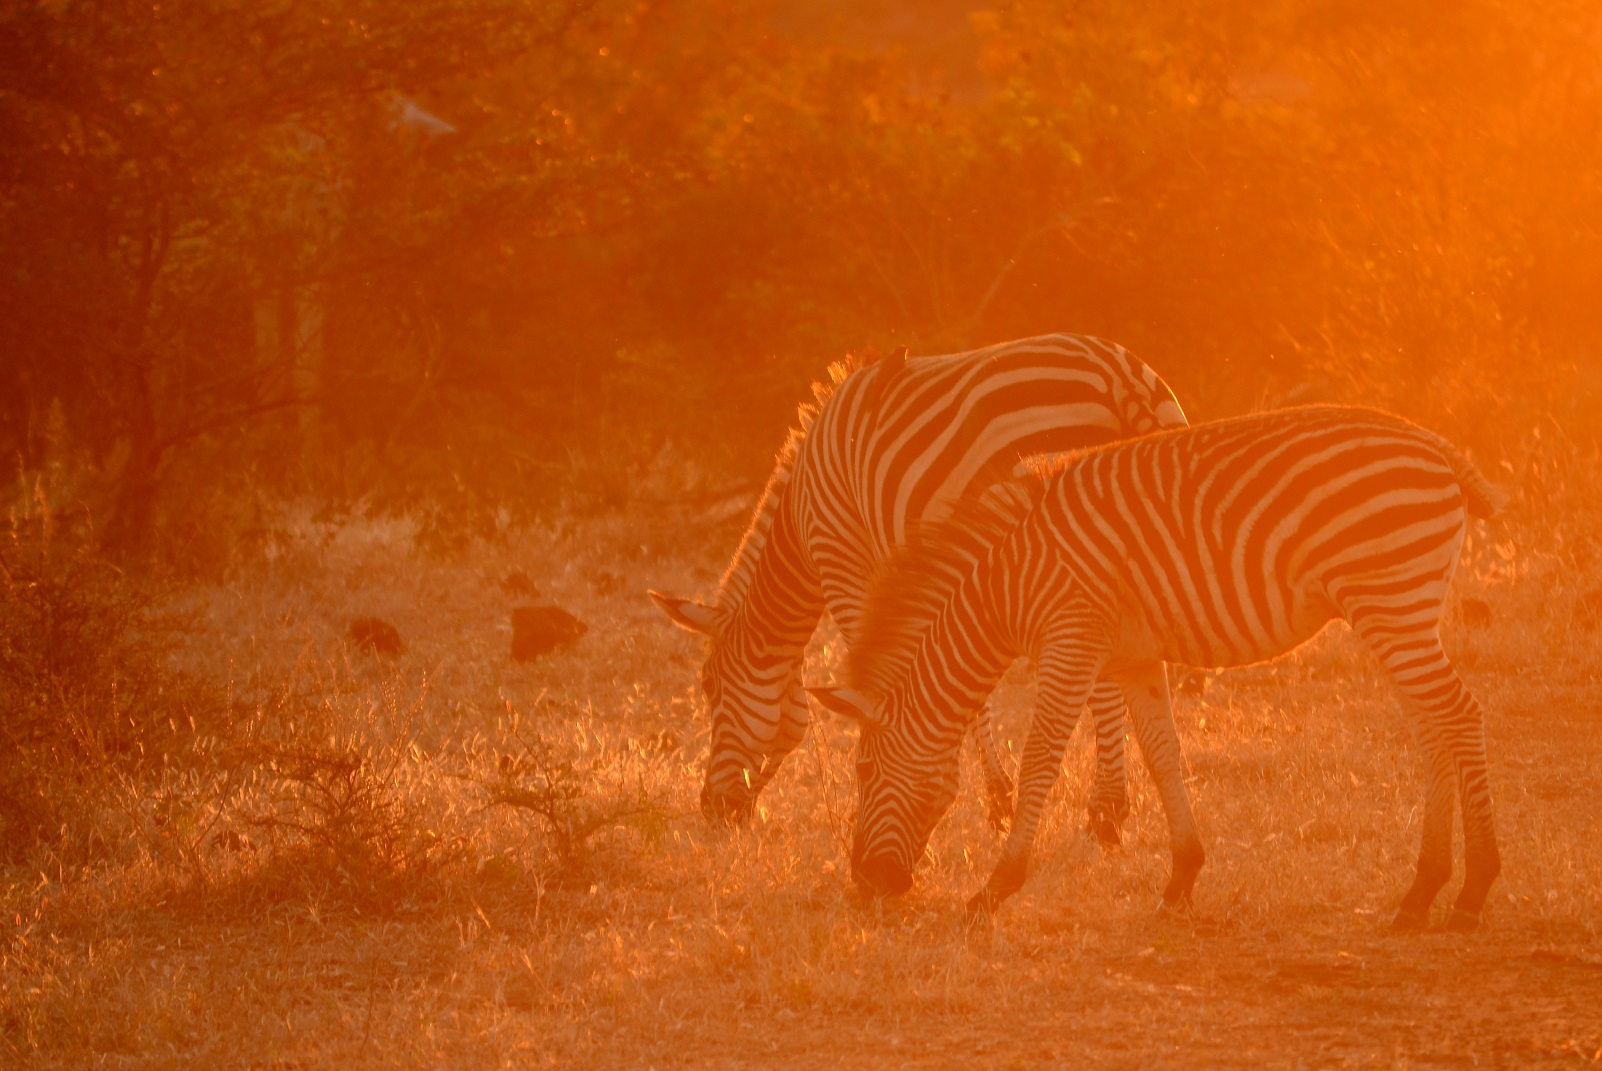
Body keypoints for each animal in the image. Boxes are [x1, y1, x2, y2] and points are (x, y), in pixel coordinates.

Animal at [650, 329, 1191, 832]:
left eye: (709, 687)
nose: (712, 811)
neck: (800, 522)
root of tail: (1117, 378)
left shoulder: (844, 560)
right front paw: (992, 796)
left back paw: (1107, 810)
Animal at [813, 405, 1499, 928]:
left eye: (863, 769)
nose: (864, 884)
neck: (1007, 585)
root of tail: (1436, 444)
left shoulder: (1070, 642)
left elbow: (1040, 763)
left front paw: (994, 888)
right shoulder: (1134, 657)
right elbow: (1162, 754)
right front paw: (1182, 877)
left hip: (1390, 601)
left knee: (1460, 712)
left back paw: (1471, 892)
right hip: (1400, 611)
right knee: (1431, 723)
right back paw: (1422, 891)